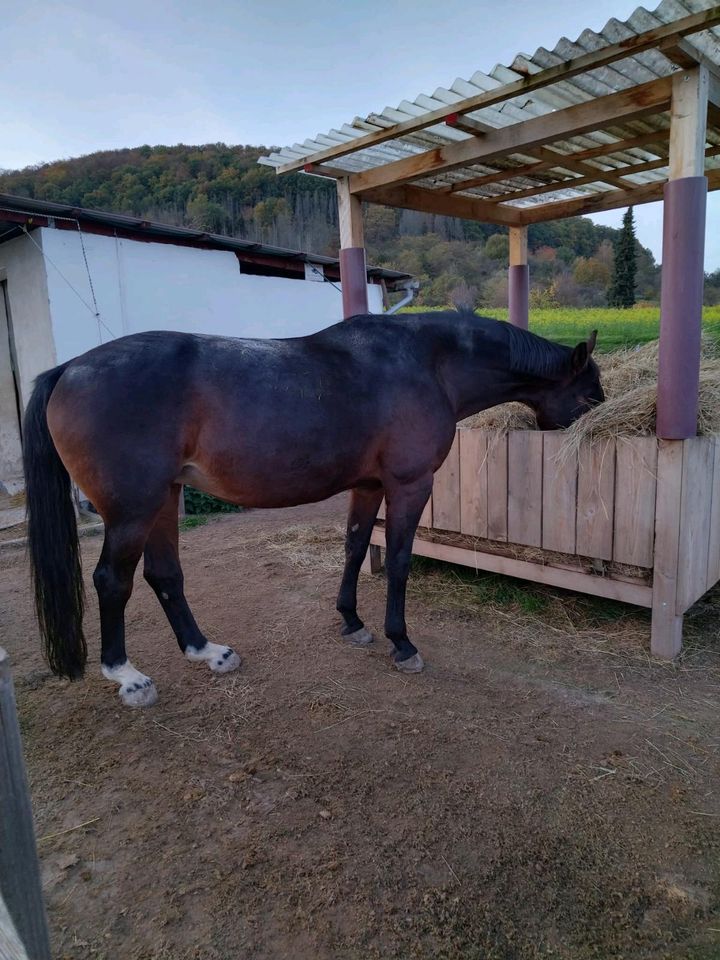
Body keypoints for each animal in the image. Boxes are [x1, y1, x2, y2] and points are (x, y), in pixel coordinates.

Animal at [23, 312, 600, 708]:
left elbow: (355, 547)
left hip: (164, 499)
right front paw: (401, 642)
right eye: (591, 392)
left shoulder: (368, 485)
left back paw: (208, 652)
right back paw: (127, 676)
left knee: (164, 574)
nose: (595, 429)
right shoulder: (409, 485)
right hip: (133, 511)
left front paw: (351, 621)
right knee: (111, 581)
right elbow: (399, 562)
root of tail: (69, 369)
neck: (429, 362)